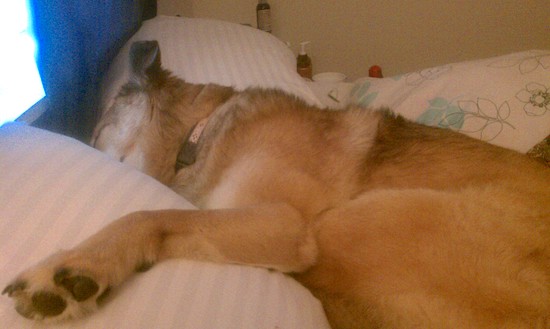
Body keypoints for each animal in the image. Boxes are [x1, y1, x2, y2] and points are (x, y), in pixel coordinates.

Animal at [4, 40, 550, 326]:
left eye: (95, 131)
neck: (197, 132)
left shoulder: (281, 221)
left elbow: (151, 213)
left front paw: (78, 265)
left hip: (353, 224)